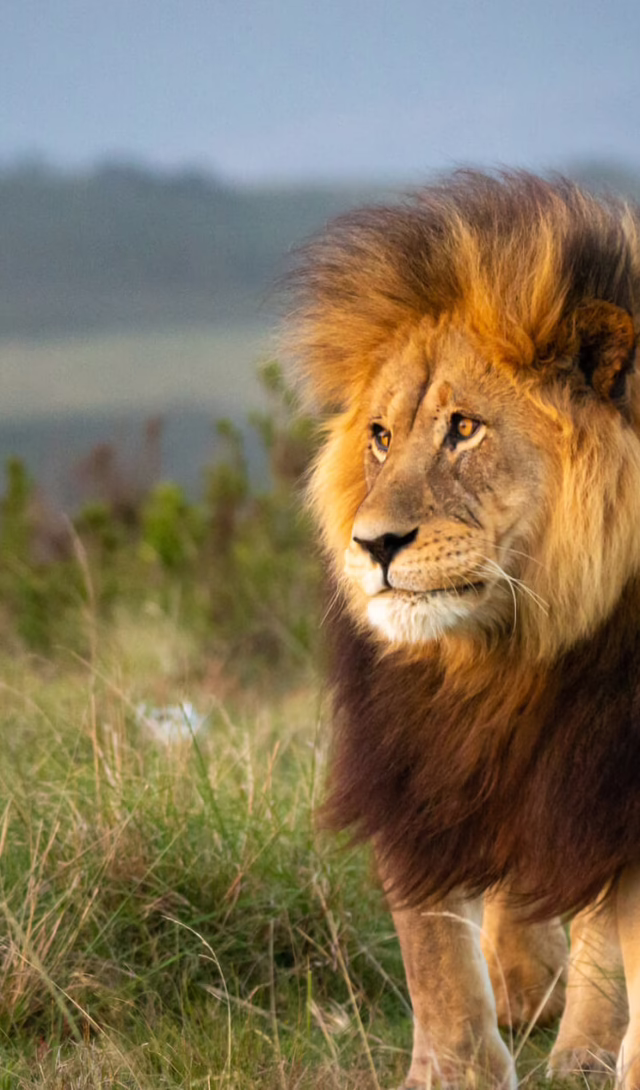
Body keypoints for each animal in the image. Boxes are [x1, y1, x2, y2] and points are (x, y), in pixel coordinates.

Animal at [285, 172, 640, 1088]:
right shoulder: (414, 756)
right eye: (380, 437)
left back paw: (583, 1046)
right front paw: (453, 1072)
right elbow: (432, 947)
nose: (373, 545)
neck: (510, 649)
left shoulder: (607, 769)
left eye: (466, 428)